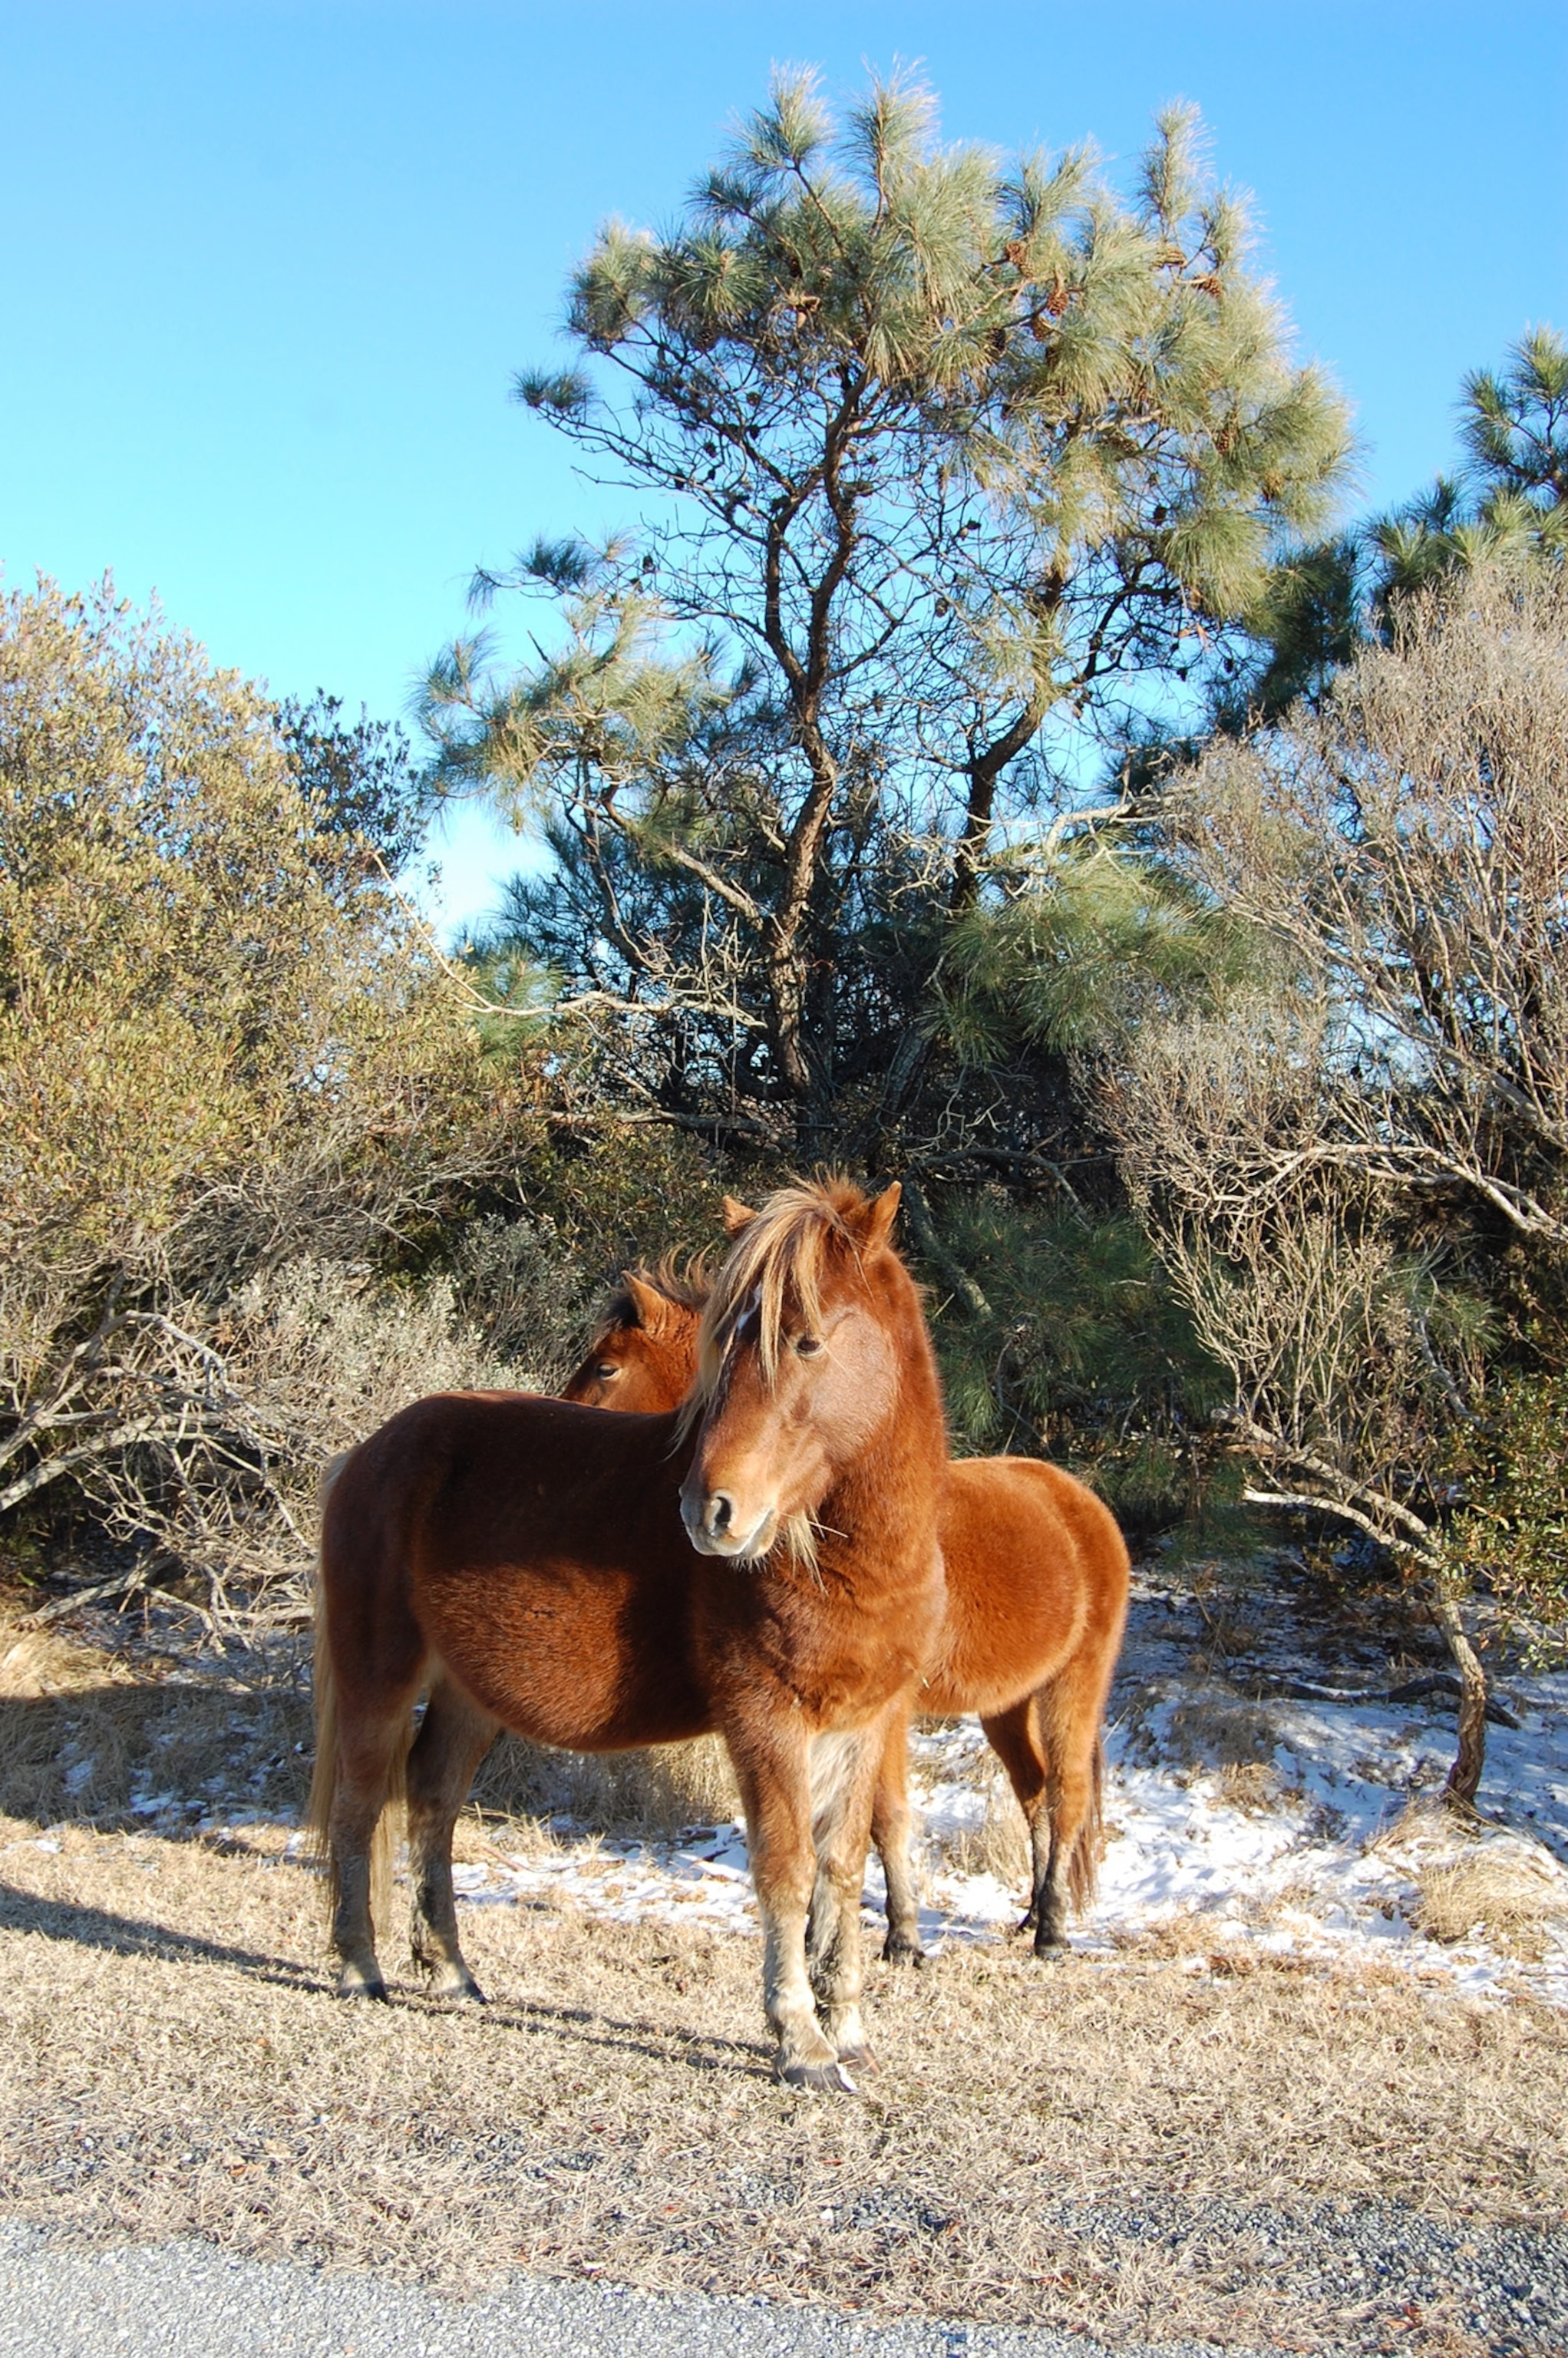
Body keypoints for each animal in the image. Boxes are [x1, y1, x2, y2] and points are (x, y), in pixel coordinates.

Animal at [308, 1177, 948, 2091]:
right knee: (362, 1804)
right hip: (380, 1678)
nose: (710, 1512)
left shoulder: (862, 1726)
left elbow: (840, 1868)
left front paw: (849, 2028)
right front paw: (801, 2041)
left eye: (807, 1341)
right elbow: (785, 1871)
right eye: (723, 1347)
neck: (845, 1560)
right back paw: (360, 1970)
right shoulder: (766, 1725)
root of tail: (367, 1453)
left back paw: (455, 1972)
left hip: (468, 1695)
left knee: (432, 1798)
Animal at [563, 1212, 1130, 1961]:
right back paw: (1033, 1913)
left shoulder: (886, 1711)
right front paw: (852, 1932)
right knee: (1034, 1794)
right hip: (1007, 1705)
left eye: (605, 1366)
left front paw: (900, 1936)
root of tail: (1079, 1502)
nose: (705, 1508)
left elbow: (882, 1816)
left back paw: (1053, 1930)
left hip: (1074, 1685)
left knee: (1065, 1796)